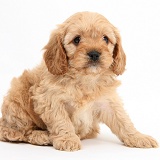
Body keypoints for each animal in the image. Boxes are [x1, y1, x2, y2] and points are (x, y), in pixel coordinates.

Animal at [0, 11, 158, 151]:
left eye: (105, 39)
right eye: (76, 39)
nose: (94, 54)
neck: (85, 78)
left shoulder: (107, 101)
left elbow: (123, 120)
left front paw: (138, 137)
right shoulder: (49, 99)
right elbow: (61, 120)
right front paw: (67, 139)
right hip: (17, 100)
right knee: (17, 132)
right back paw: (41, 136)